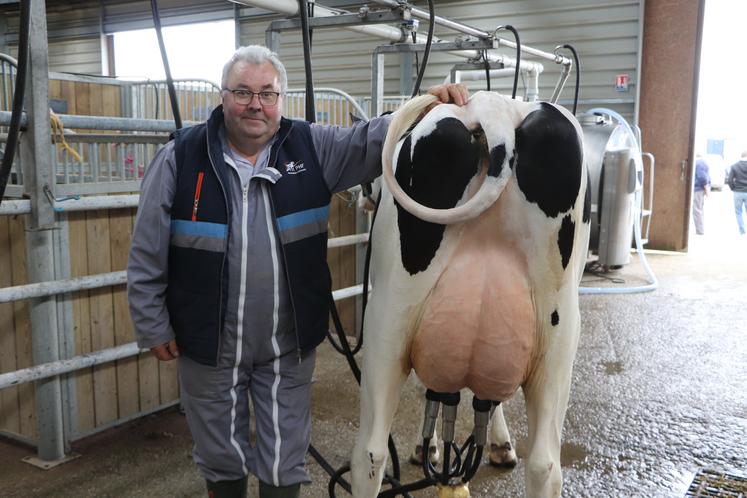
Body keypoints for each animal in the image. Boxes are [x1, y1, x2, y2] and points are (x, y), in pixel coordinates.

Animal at [350, 90, 592, 498]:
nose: (361, 199)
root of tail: (494, 107)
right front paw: (498, 444)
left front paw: (429, 447)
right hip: (560, 339)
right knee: (545, 464)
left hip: (386, 315)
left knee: (370, 451)